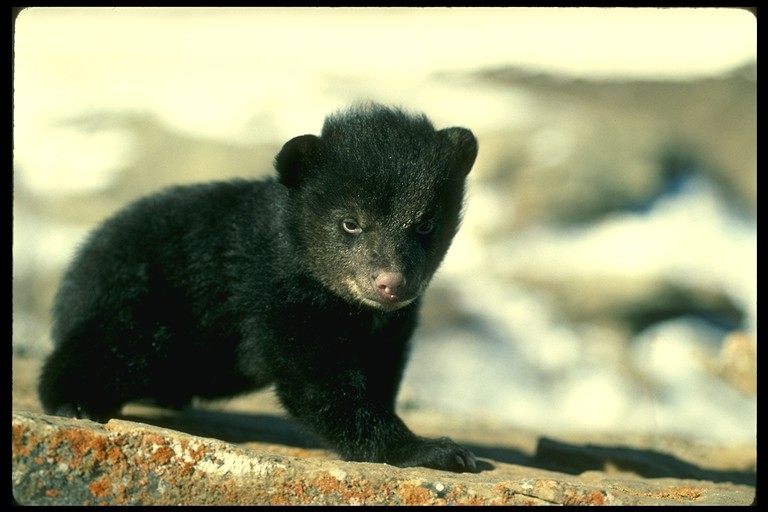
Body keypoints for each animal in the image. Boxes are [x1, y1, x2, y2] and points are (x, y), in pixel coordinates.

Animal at [37, 102, 479, 473]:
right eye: (350, 222)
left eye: (425, 223)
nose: (392, 283)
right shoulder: (277, 296)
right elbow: (317, 381)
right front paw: (432, 449)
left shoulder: (389, 326)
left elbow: (379, 368)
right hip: (141, 300)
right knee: (113, 344)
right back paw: (75, 401)